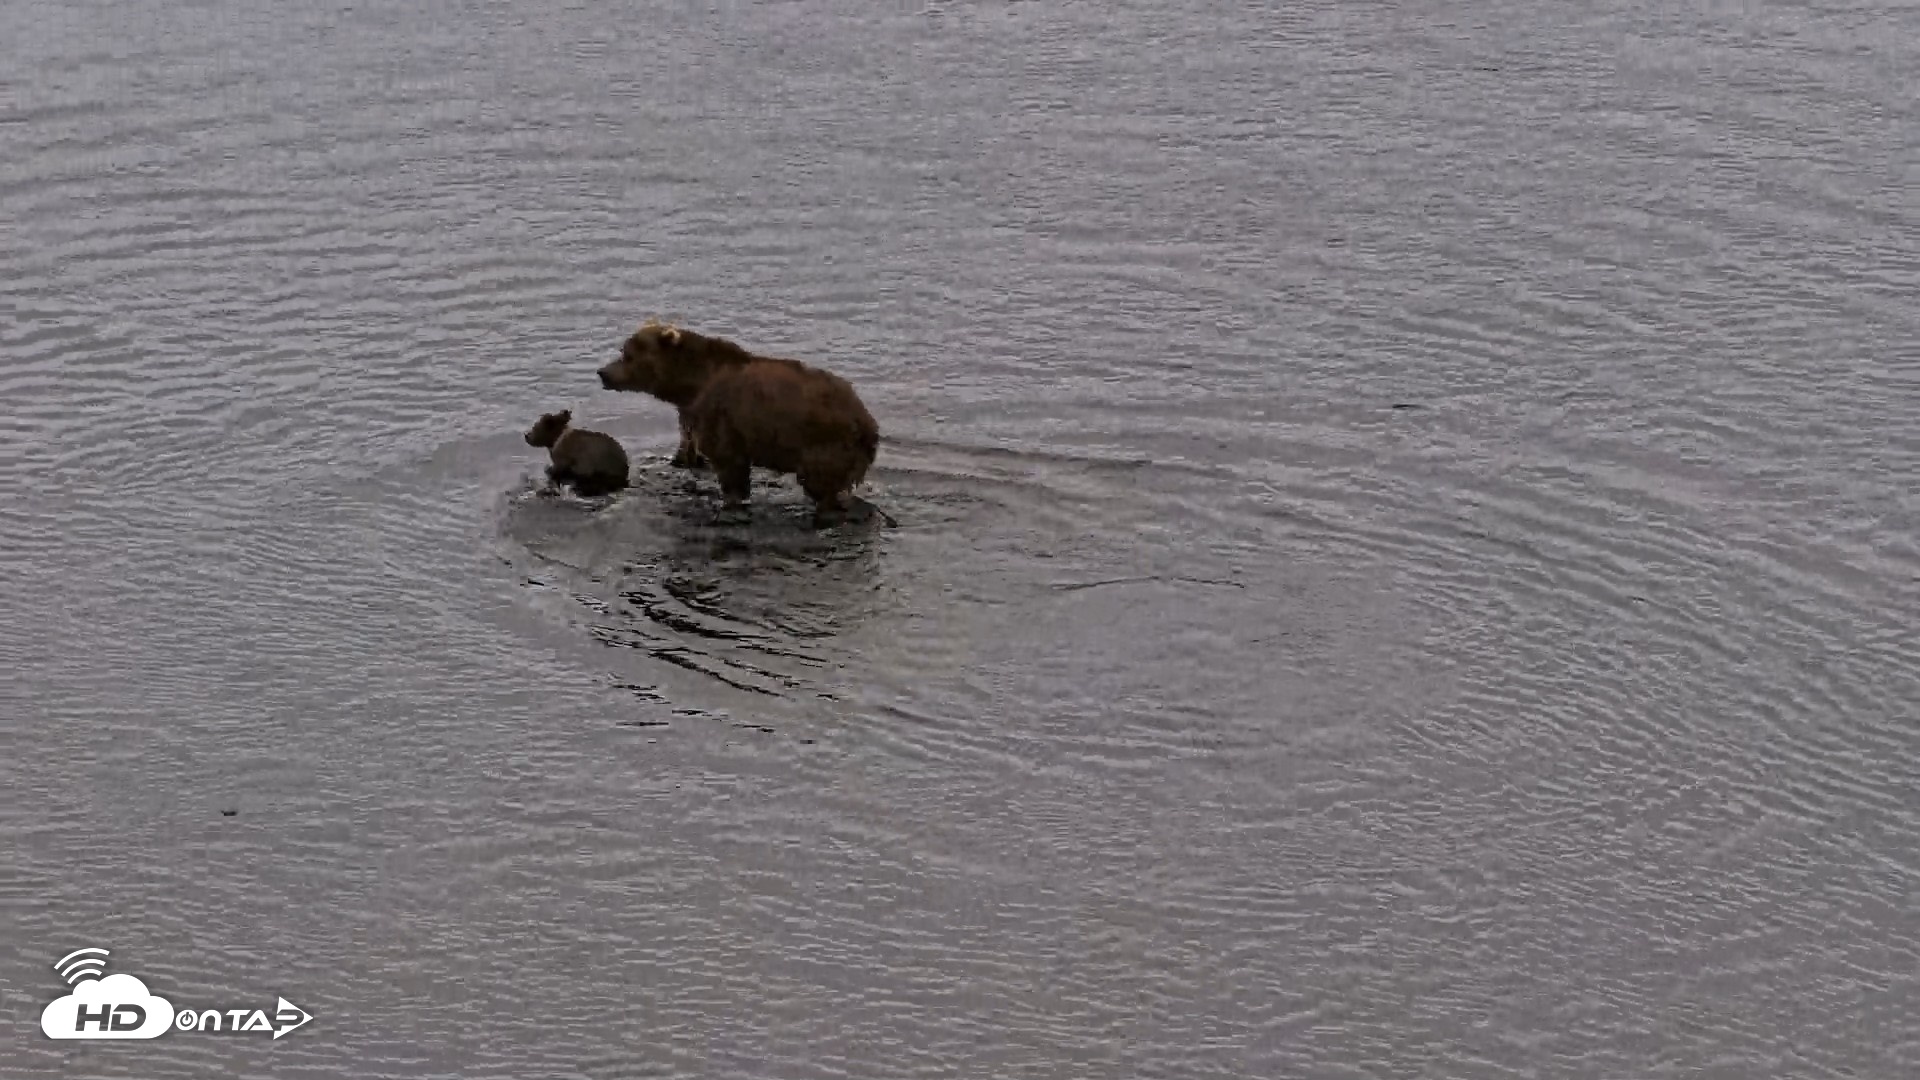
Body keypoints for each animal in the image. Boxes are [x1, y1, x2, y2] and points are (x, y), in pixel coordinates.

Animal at [596, 320, 880, 526]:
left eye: (628, 355)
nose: (603, 373)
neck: (689, 384)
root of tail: (868, 423)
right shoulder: (691, 414)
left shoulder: (719, 414)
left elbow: (729, 463)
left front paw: (730, 504)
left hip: (823, 443)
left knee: (822, 485)